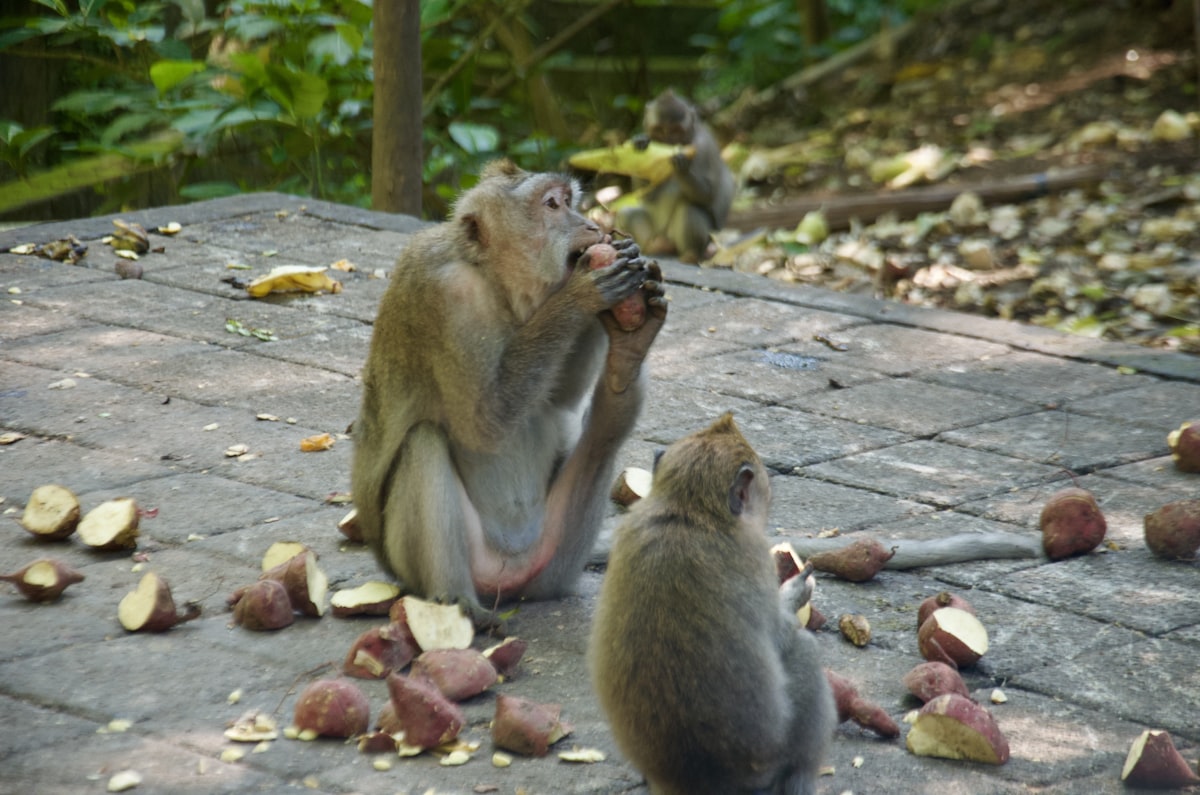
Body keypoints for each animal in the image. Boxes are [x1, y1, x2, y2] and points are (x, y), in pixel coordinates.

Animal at [351, 159, 668, 623]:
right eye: (552, 205)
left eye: (570, 201)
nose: (592, 226)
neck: (494, 281)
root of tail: (508, 584)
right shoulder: (445, 294)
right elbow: (484, 423)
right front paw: (583, 294)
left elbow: (561, 400)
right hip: (442, 565)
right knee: (422, 442)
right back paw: (457, 602)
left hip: (553, 565)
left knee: (604, 437)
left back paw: (628, 357)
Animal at [589, 413, 835, 795]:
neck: (688, 508)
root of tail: (693, 781)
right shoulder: (753, 555)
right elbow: (781, 635)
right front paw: (795, 592)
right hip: (768, 763)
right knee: (804, 650)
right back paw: (800, 779)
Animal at [617, 89, 735, 263]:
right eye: (659, 130)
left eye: (676, 131)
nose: (668, 142)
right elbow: (648, 196)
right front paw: (640, 142)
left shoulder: (703, 147)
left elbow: (708, 194)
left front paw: (681, 166)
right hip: (656, 232)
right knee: (626, 214)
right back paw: (648, 247)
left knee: (690, 209)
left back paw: (690, 255)